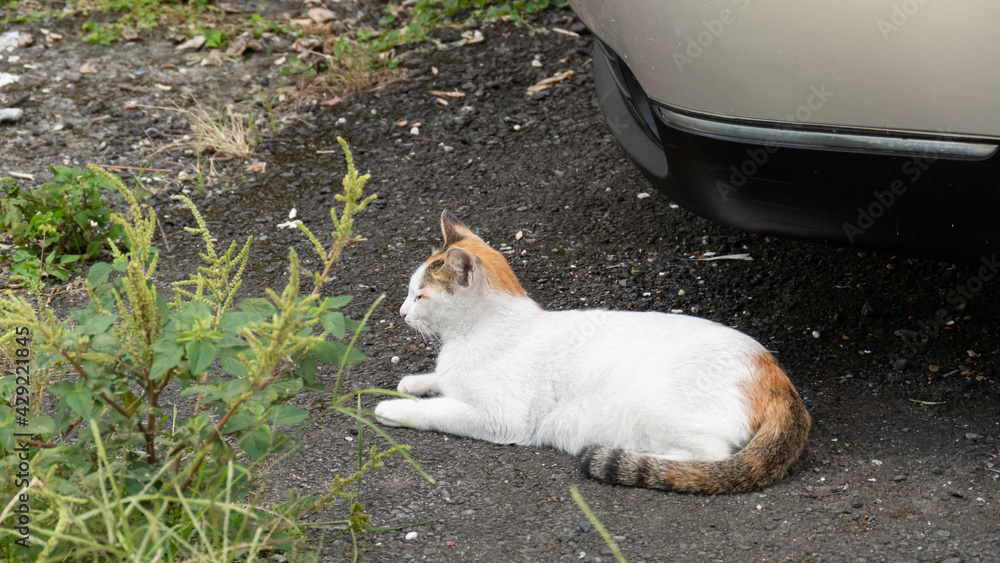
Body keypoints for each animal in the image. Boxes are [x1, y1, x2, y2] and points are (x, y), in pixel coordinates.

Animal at [376, 212, 812, 494]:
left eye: (420, 296)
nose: (400, 312)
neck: (476, 332)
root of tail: (776, 375)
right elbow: (437, 380)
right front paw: (412, 382)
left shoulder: (499, 417)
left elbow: (437, 410)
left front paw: (392, 408)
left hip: (655, 407)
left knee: (708, 458)